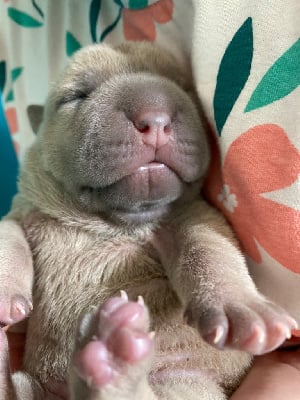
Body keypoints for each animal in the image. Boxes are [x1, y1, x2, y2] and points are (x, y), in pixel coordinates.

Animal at [0, 42, 296, 398]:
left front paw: (243, 306)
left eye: (185, 88)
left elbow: (209, 250)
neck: (112, 221)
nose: (154, 119)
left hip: (186, 381)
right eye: (77, 95)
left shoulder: (193, 216)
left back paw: (114, 356)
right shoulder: (26, 211)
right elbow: (8, 235)